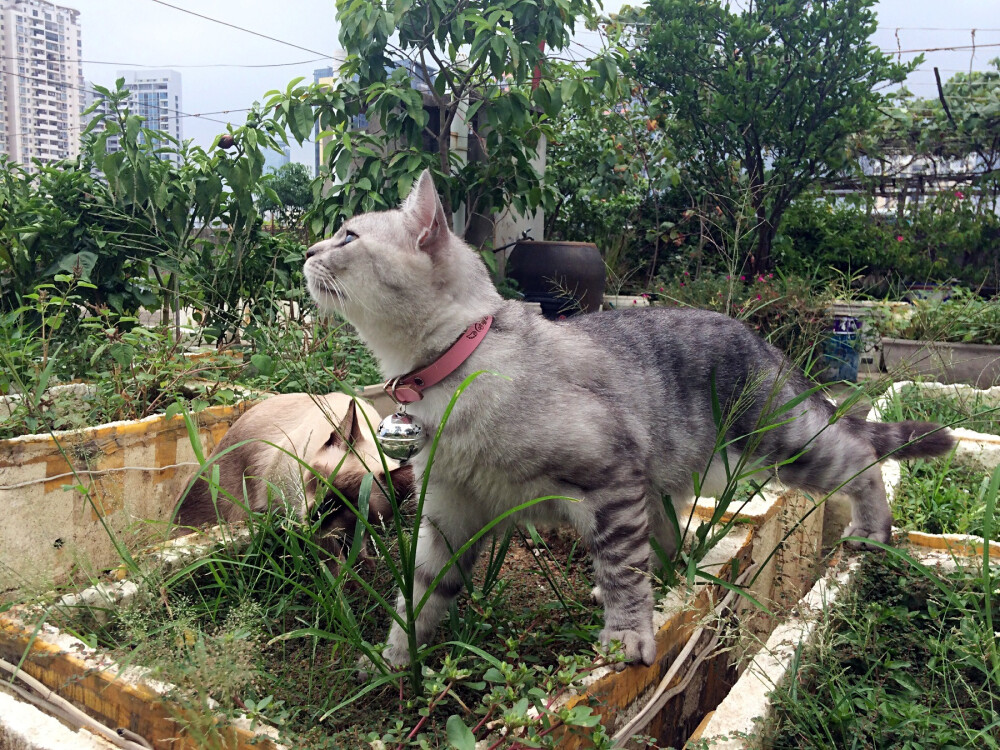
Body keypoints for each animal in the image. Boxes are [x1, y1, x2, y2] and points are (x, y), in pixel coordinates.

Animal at [302, 172, 952, 668]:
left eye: (346, 236)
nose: (306, 252)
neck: (454, 371)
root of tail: (766, 343)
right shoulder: (449, 511)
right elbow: (422, 594)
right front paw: (395, 662)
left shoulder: (608, 479)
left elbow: (621, 567)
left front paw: (625, 637)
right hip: (673, 481)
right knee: (669, 547)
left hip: (780, 447)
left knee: (860, 459)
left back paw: (871, 534)